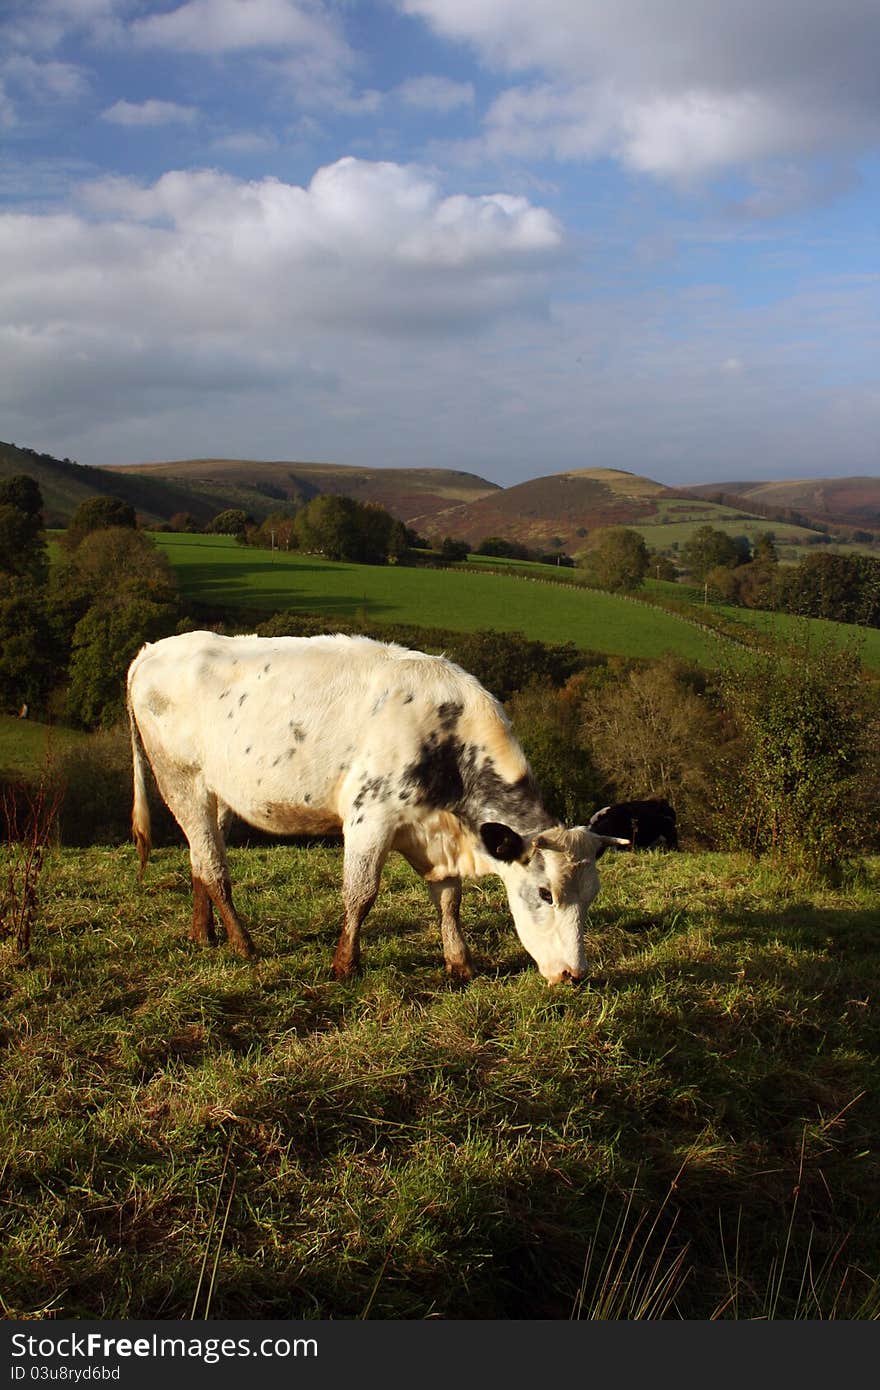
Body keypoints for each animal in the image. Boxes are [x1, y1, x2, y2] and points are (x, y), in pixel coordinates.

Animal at [127, 636, 628, 984]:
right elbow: (361, 893)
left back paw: (203, 935)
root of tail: (155, 649)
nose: (575, 975)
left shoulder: (435, 834)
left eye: (592, 896)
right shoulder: (370, 817)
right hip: (181, 780)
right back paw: (243, 944)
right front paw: (345, 965)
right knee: (213, 869)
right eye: (545, 893)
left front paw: (460, 963)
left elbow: (449, 899)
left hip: (218, 794)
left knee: (199, 857)